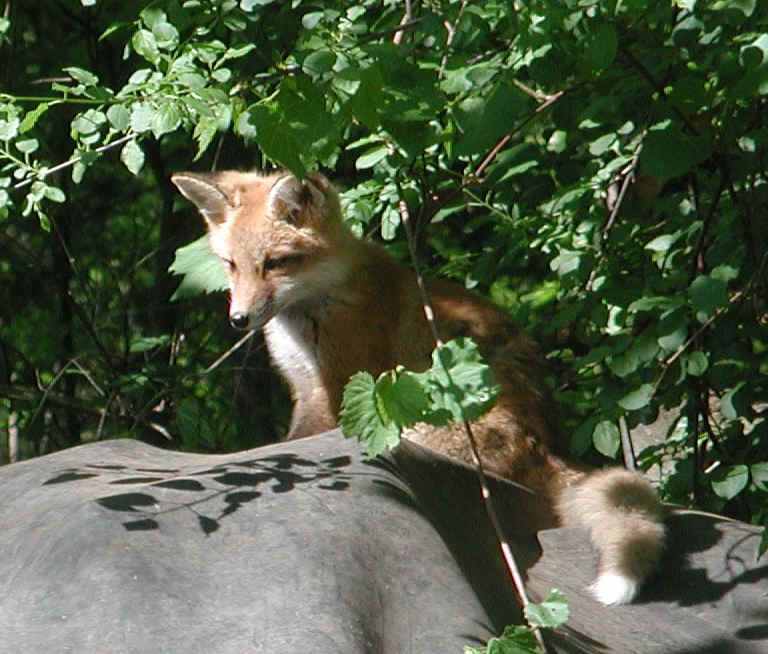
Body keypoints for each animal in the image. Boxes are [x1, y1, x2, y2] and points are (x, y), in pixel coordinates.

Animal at [171, 169, 667, 606]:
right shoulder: (305, 390)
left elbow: (291, 443)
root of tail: (550, 448)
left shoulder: (338, 391)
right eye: (231, 265)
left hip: (416, 425)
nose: (239, 320)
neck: (315, 306)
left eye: (275, 263)